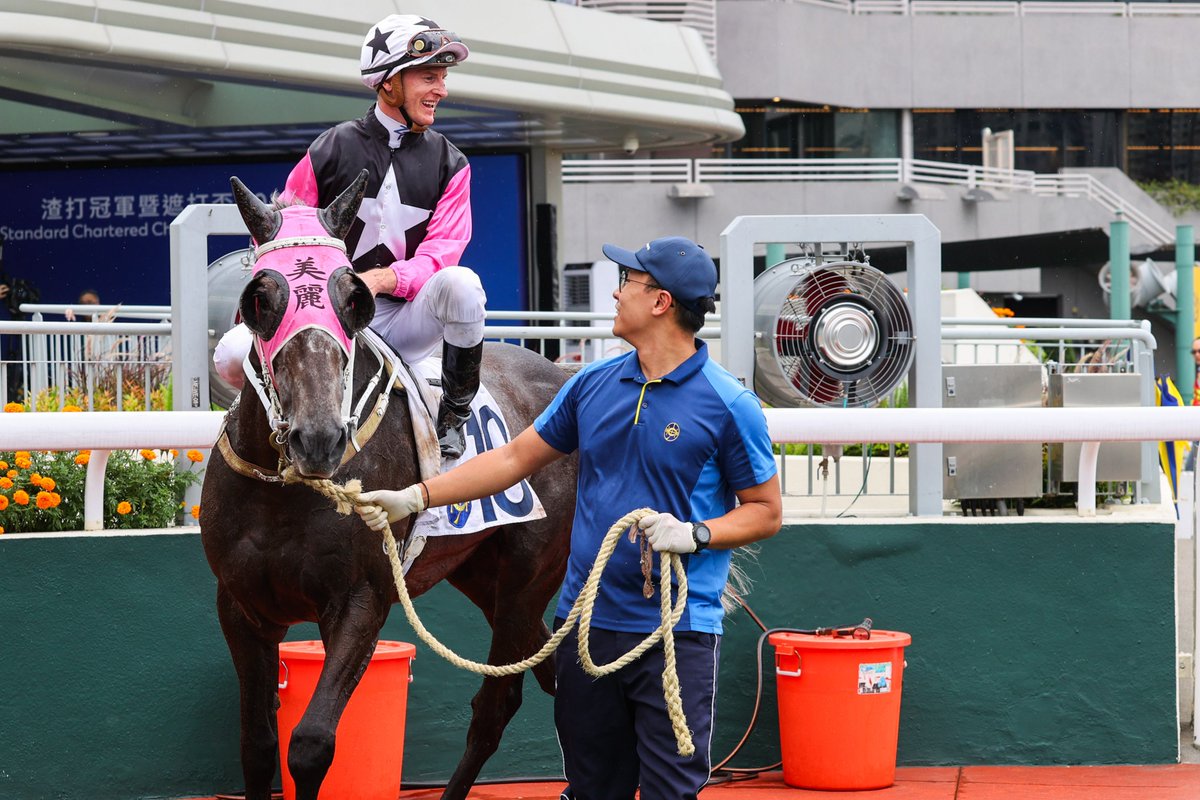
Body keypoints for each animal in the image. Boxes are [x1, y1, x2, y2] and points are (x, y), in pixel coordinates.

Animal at [199, 173, 578, 800]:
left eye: (355, 300)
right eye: (259, 299)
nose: (319, 438)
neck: (283, 489)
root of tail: (569, 378)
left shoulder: (361, 600)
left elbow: (309, 743)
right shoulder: (241, 607)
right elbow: (255, 745)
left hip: (530, 575)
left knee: (496, 706)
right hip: (481, 571)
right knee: (549, 666)